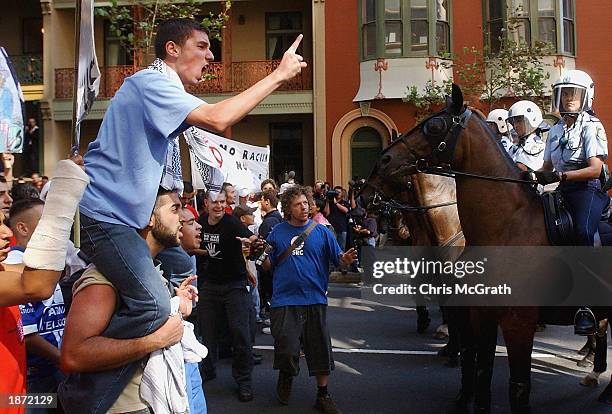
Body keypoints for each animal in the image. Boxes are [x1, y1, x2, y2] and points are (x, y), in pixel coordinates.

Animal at [360, 82, 608, 412]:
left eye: (434, 126)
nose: (362, 193)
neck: (504, 227)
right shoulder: (480, 313)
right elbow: (480, 369)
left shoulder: (517, 322)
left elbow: (516, 386)